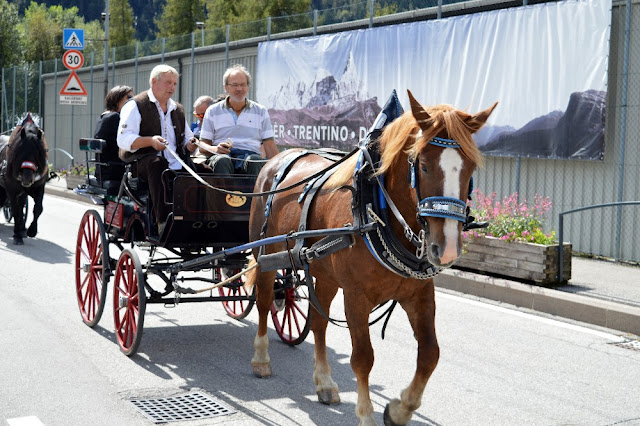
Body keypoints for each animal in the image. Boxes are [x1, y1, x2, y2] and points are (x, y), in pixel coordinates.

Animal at [0, 115, 49, 245]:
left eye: (39, 152)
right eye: (19, 151)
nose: (27, 178)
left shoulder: (39, 186)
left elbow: (38, 208)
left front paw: (31, 230)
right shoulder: (11, 189)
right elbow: (16, 210)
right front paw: (17, 235)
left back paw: (22, 228)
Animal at [248, 91, 498, 424]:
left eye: (470, 168)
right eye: (423, 165)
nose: (446, 249)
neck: (376, 212)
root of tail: (276, 159)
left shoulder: (419, 293)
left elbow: (430, 353)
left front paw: (400, 409)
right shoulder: (356, 295)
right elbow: (363, 357)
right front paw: (367, 414)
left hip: (323, 272)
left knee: (318, 322)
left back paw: (324, 382)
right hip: (266, 252)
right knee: (264, 301)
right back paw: (261, 359)